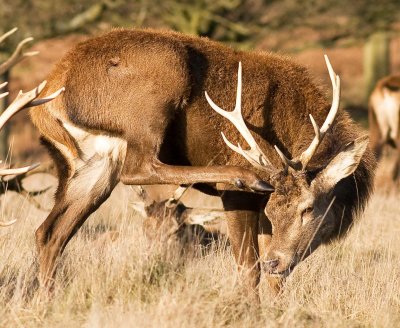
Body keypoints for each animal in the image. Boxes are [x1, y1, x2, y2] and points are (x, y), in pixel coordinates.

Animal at [28, 28, 376, 294]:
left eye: (307, 209)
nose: (275, 260)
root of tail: (50, 90)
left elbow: (275, 280)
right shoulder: (240, 199)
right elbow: (248, 269)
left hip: (93, 161)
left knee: (50, 233)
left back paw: (46, 300)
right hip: (160, 82)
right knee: (141, 166)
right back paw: (241, 174)